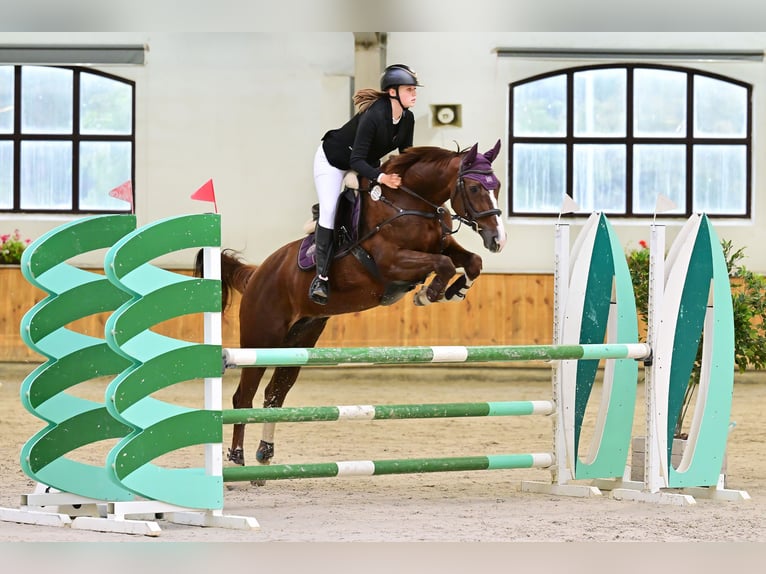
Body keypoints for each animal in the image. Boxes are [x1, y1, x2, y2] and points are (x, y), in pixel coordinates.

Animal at [201, 141, 508, 472]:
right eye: (475, 188)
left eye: (497, 186)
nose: (498, 240)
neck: (409, 203)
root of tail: (257, 274)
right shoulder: (392, 261)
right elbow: (444, 264)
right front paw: (428, 294)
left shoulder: (442, 245)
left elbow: (471, 261)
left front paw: (454, 291)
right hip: (262, 338)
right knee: (243, 396)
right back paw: (237, 457)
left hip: (300, 339)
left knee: (275, 393)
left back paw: (265, 453)